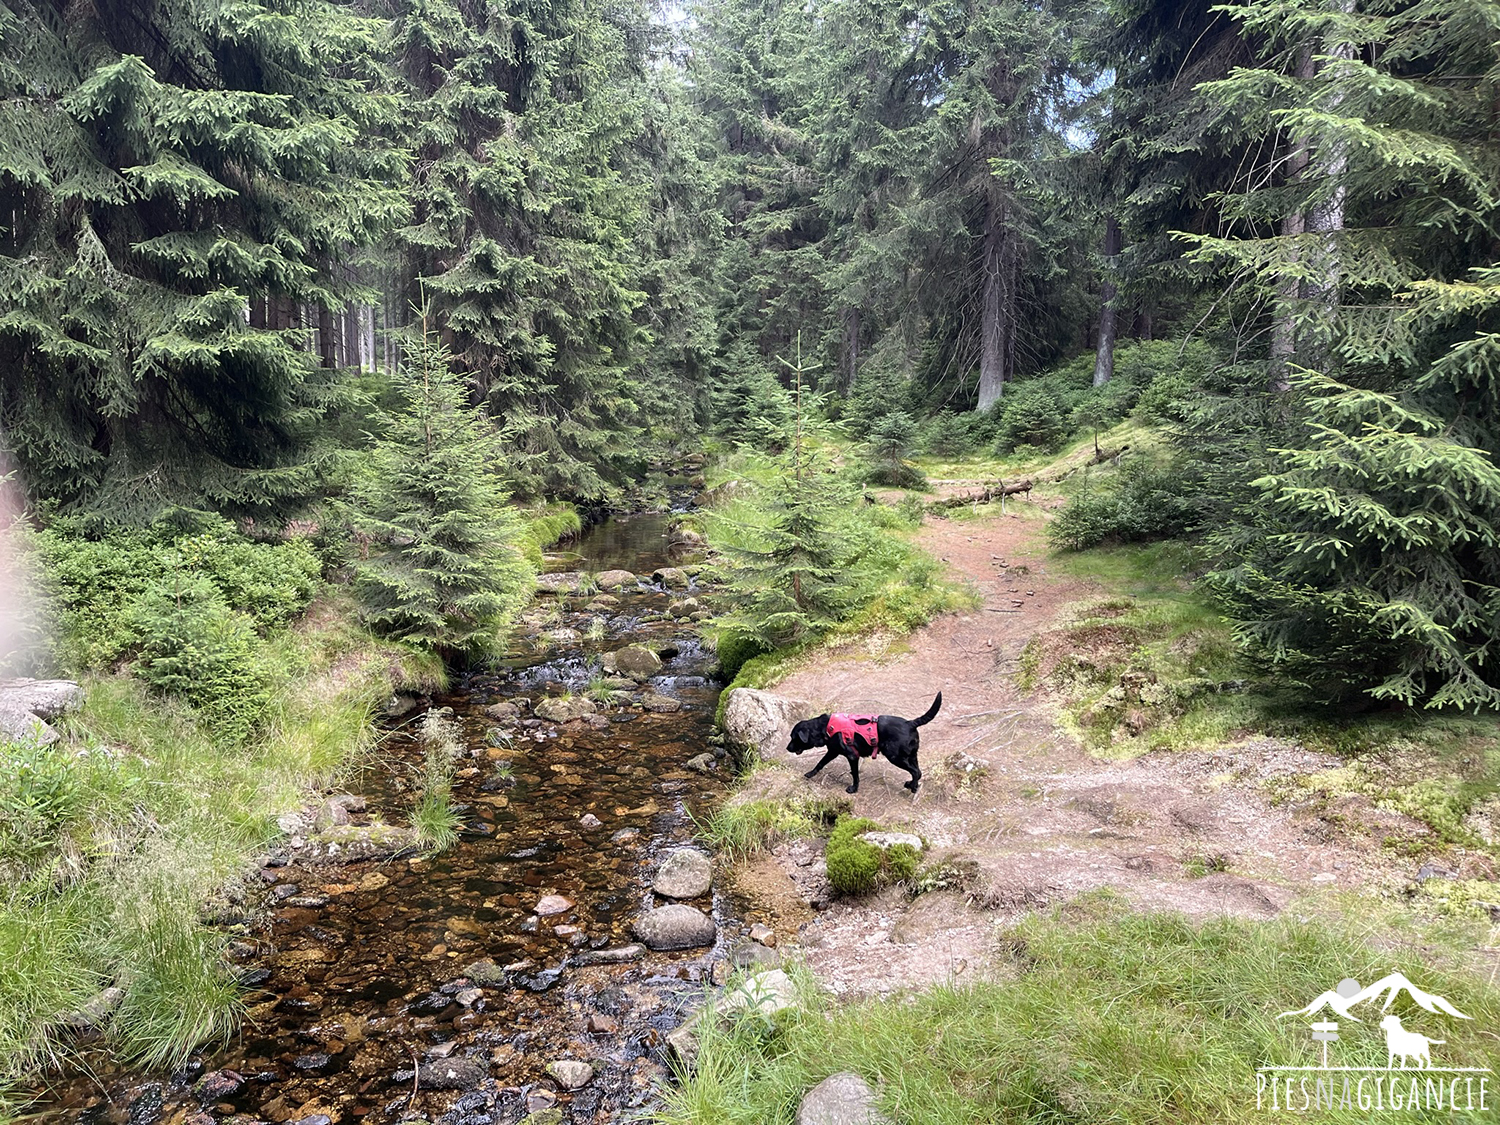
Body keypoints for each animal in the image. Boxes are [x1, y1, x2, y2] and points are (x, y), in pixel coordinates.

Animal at [786, 693, 936, 798]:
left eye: (793, 738)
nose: (787, 748)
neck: (825, 727)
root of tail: (910, 723)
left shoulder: (852, 756)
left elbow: (855, 774)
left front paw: (853, 789)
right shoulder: (832, 751)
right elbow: (820, 763)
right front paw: (811, 773)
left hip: (895, 757)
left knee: (915, 771)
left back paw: (913, 787)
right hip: (911, 756)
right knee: (918, 772)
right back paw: (911, 784)